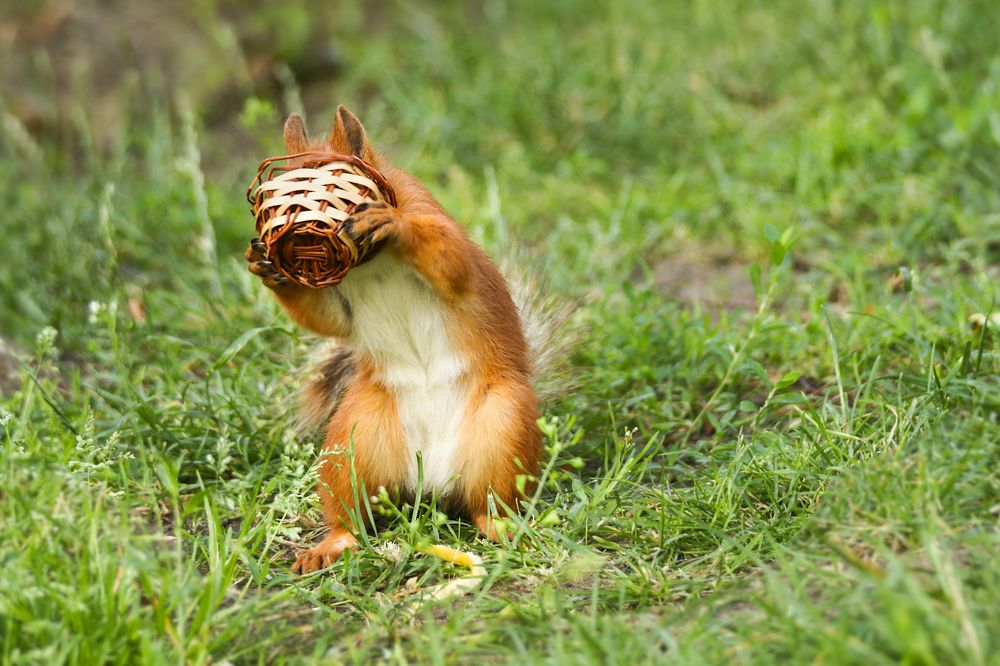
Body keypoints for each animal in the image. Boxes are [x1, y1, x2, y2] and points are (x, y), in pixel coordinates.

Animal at [246, 106, 569, 574]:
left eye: (338, 178)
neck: (372, 263)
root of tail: (431, 477)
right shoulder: (338, 303)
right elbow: (324, 318)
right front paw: (266, 264)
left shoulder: (433, 219)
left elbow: (450, 261)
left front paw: (391, 223)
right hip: (353, 440)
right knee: (351, 514)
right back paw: (330, 546)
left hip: (503, 426)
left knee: (490, 504)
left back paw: (508, 531)